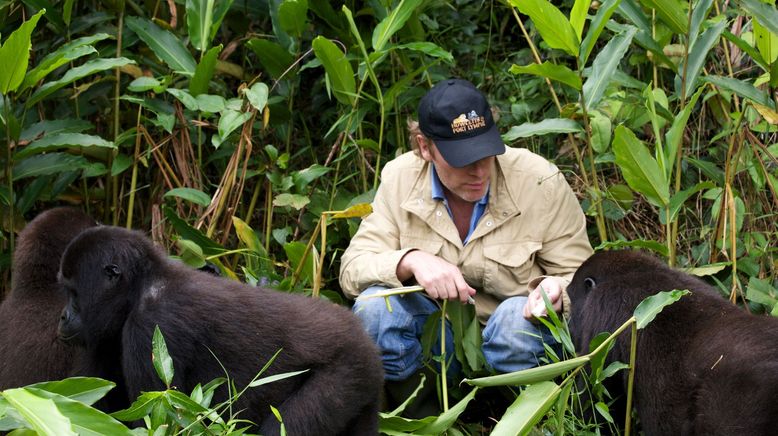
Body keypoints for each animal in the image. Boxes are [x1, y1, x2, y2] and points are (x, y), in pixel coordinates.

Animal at [56, 227, 384, 434]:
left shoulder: (150, 325)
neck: (142, 283)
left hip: (347, 368)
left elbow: (159, 421)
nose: (62, 316)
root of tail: (363, 335)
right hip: (363, 381)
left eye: (73, 293)